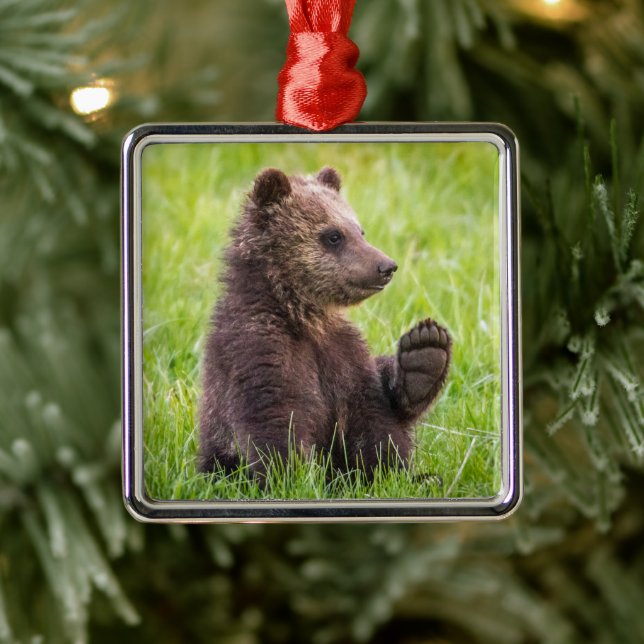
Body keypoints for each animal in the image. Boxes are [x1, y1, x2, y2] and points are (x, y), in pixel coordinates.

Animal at [198, 166, 451, 483]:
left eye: (360, 230)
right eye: (333, 235)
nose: (387, 266)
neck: (303, 316)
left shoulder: (343, 353)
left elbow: (373, 417)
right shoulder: (258, 346)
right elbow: (275, 415)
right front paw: (290, 476)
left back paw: (424, 356)